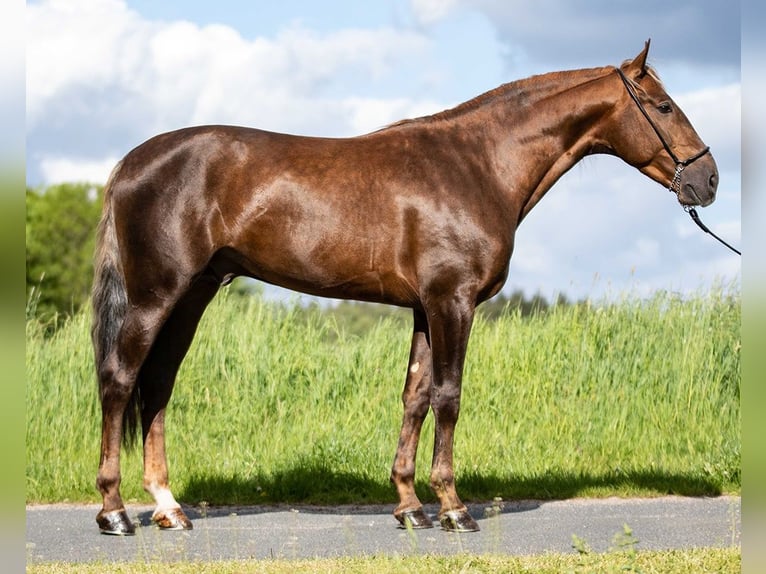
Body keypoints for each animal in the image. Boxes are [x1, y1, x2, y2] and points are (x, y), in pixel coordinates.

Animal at [91, 40, 717, 535]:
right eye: (664, 106)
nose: (707, 180)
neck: (476, 165)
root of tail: (132, 163)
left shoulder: (423, 308)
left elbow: (415, 398)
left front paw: (410, 506)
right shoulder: (452, 302)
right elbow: (448, 398)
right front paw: (454, 509)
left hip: (191, 297)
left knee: (158, 386)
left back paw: (169, 508)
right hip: (155, 296)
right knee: (120, 381)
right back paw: (115, 512)